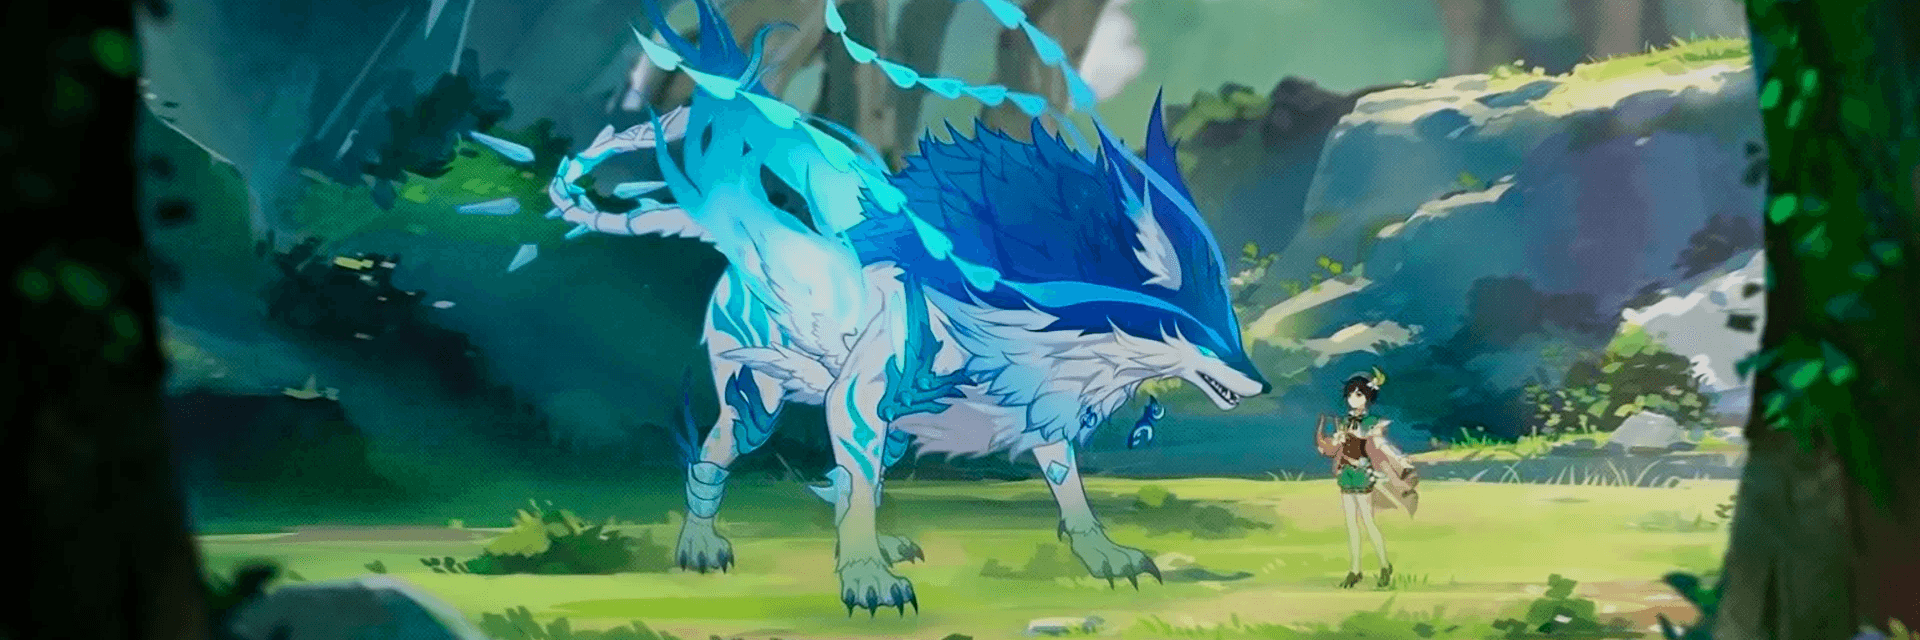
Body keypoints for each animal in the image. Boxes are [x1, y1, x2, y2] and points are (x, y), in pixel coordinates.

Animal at [533, 0, 1269, 614]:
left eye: (1225, 317)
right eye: (1189, 323)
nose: (1258, 383)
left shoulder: (1033, 398)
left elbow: (1066, 483)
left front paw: (1102, 554)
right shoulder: (869, 387)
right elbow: (856, 473)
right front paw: (865, 579)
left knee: (859, 473)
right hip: (755, 393)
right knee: (724, 451)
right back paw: (701, 544)